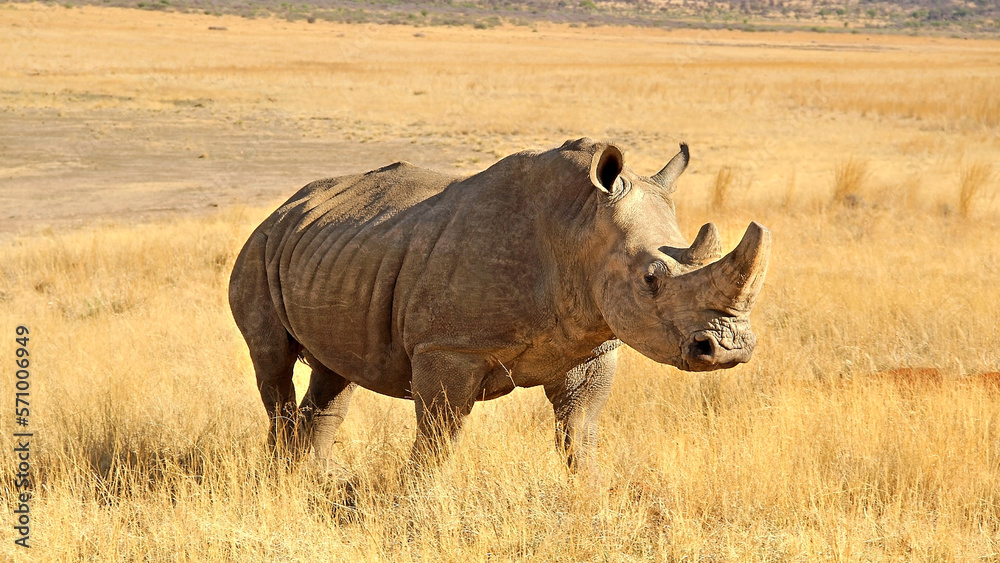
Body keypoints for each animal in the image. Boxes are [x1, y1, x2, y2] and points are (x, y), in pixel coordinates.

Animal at [229, 138, 770, 473]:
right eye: (651, 280)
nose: (729, 350)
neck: (578, 225)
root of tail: (285, 207)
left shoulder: (594, 346)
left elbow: (581, 434)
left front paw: (592, 503)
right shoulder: (450, 347)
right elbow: (439, 437)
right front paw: (414, 513)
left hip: (334, 249)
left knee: (336, 371)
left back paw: (316, 480)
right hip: (259, 247)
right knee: (273, 362)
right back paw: (283, 479)